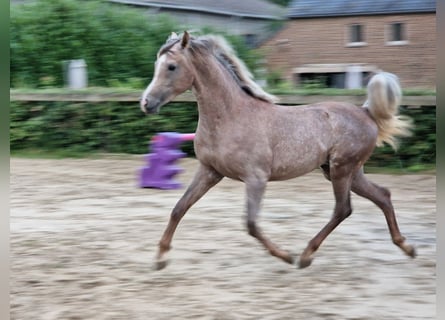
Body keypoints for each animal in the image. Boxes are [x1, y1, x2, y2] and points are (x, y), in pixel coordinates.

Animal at [139, 31, 412, 270]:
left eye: (171, 66)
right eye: (155, 64)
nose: (146, 103)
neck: (230, 117)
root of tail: (366, 112)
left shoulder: (256, 178)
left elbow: (251, 224)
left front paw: (285, 256)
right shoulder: (209, 171)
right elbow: (179, 208)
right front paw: (160, 258)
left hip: (341, 170)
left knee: (343, 209)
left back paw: (305, 256)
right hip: (346, 172)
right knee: (382, 195)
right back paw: (406, 247)